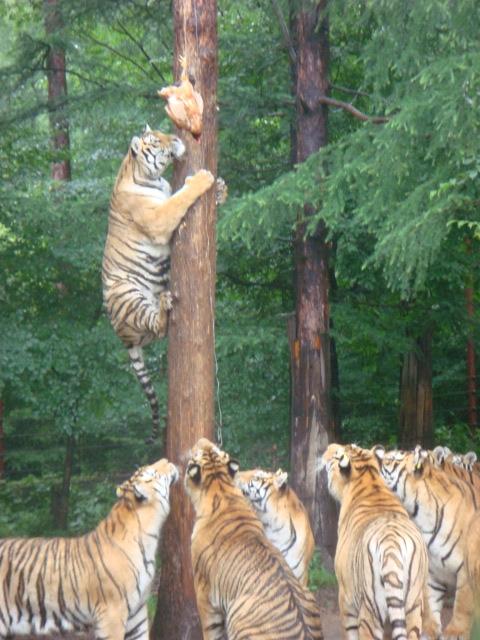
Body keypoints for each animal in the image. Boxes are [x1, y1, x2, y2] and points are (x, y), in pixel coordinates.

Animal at [102, 124, 215, 443]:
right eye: (156, 140)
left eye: (163, 131)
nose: (176, 138)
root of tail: (123, 338)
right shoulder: (158, 218)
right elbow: (179, 198)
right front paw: (202, 178)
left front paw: (222, 189)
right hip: (128, 293)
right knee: (158, 325)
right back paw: (165, 305)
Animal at [184, 438, 324, 640]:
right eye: (215, 449)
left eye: (197, 452)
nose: (201, 439)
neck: (221, 488)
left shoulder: (204, 595)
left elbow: (211, 631)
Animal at [320, 443, 431, 640]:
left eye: (336, 455)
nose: (329, 447)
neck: (369, 480)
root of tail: (392, 545)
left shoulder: (345, 597)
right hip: (414, 607)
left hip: (371, 612)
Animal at [376, 444, 477, 639]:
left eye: (390, 460)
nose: (374, 452)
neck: (420, 516)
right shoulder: (432, 569)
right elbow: (431, 603)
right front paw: (430, 630)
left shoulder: (466, 571)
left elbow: (462, 606)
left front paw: (454, 632)